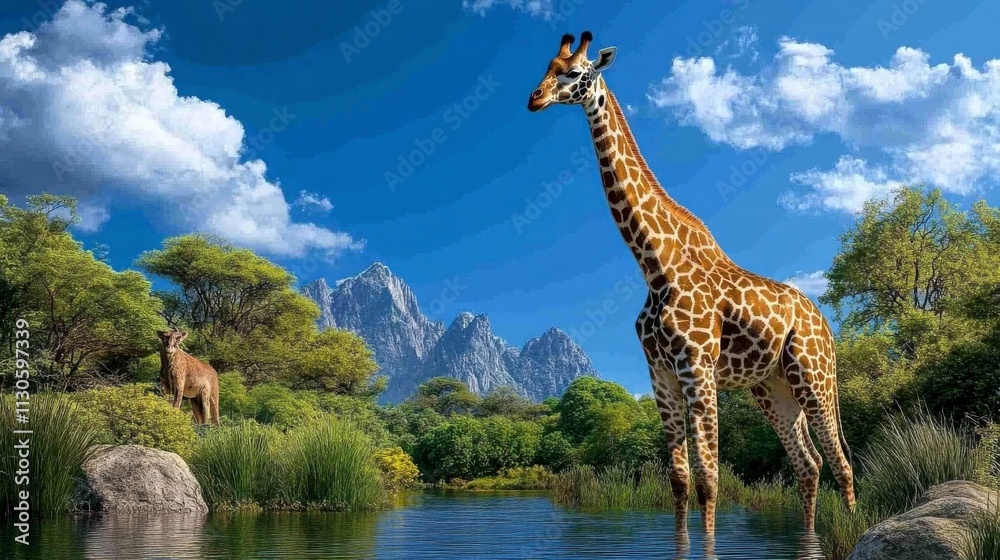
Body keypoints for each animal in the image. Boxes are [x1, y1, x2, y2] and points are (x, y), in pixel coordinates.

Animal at [527, 31, 855, 534]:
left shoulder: (697, 368)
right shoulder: (660, 373)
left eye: (577, 72)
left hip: (813, 376)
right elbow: (680, 482)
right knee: (809, 464)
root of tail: (826, 325)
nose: (535, 98)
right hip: (773, 387)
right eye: (546, 67)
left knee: (841, 462)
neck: (654, 264)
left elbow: (710, 481)